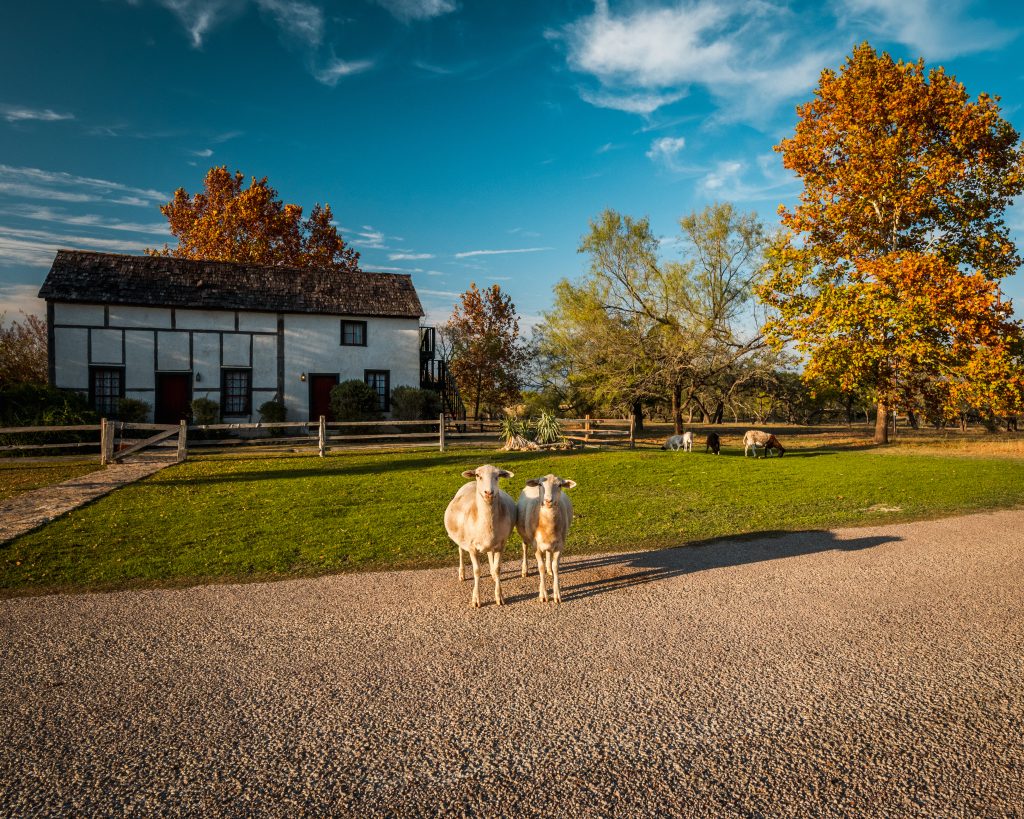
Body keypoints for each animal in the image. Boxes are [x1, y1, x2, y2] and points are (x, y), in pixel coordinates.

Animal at [444, 464, 516, 606]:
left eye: (498, 476)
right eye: (478, 475)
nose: (489, 492)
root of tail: (470, 483)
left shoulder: (501, 544)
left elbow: (498, 569)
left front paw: (499, 596)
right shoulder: (472, 547)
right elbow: (477, 571)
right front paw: (476, 599)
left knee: (489, 553)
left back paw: (492, 573)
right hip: (461, 539)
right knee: (461, 552)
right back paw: (462, 574)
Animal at [516, 472, 573, 601]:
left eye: (560, 485)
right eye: (540, 484)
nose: (548, 500)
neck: (547, 526)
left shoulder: (559, 545)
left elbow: (556, 567)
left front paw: (557, 594)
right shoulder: (536, 547)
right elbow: (540, 568)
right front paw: (543, 595)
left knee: (548, 554)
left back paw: (549, 569)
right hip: (525, 536)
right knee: (524, 548)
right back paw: (524, 570)